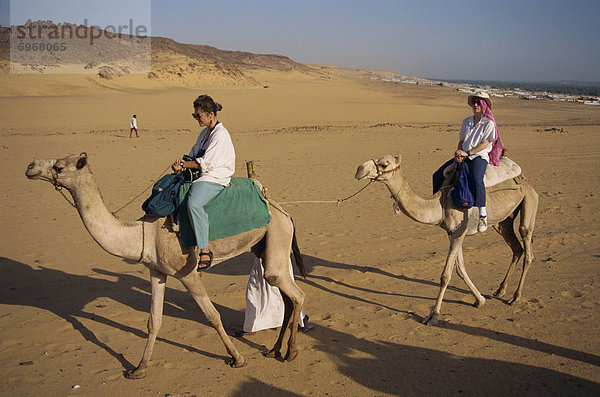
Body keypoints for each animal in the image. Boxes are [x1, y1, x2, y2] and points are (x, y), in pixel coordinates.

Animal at [25, 154, 308, 378]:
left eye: (59, 166)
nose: (30, 166)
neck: (143, 234)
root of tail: (282, 211)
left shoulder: (188, 274)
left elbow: (213, 316)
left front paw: (237, 358)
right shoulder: (157, 272)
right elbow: (154, 320)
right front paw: (138, 369)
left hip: (277, 236)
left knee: (296, 294)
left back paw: (291, 352)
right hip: (264, 247)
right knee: (285, 296)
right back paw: (275, 350)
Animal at [356, 153, 540, 324]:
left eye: (384, 164)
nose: (359, 169)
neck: (441, 203)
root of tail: (526, 181)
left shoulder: (459, 233)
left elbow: (446, 275)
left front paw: (433, 315)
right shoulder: (452, 233)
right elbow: (460, 270)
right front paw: (480, 300)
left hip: (529, 201)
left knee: (527, 244)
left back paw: (515, 297)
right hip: (503, 221)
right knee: (516, 248)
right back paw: (500, 290)